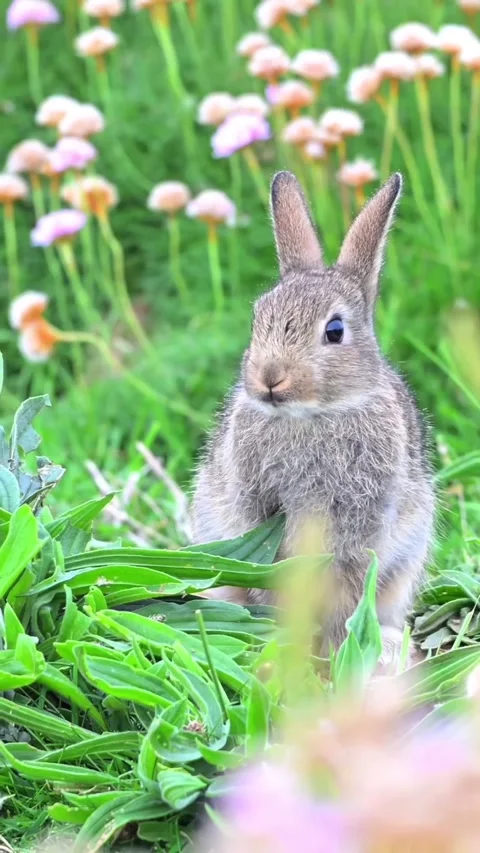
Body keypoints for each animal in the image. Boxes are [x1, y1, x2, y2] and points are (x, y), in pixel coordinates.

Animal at [192, 171, 434, 663]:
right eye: (257, 319)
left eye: (334, 331)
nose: (270, 377)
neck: (313, 416)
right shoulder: (261, 517)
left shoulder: (361, 524)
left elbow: (348, 587)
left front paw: (338, 650)